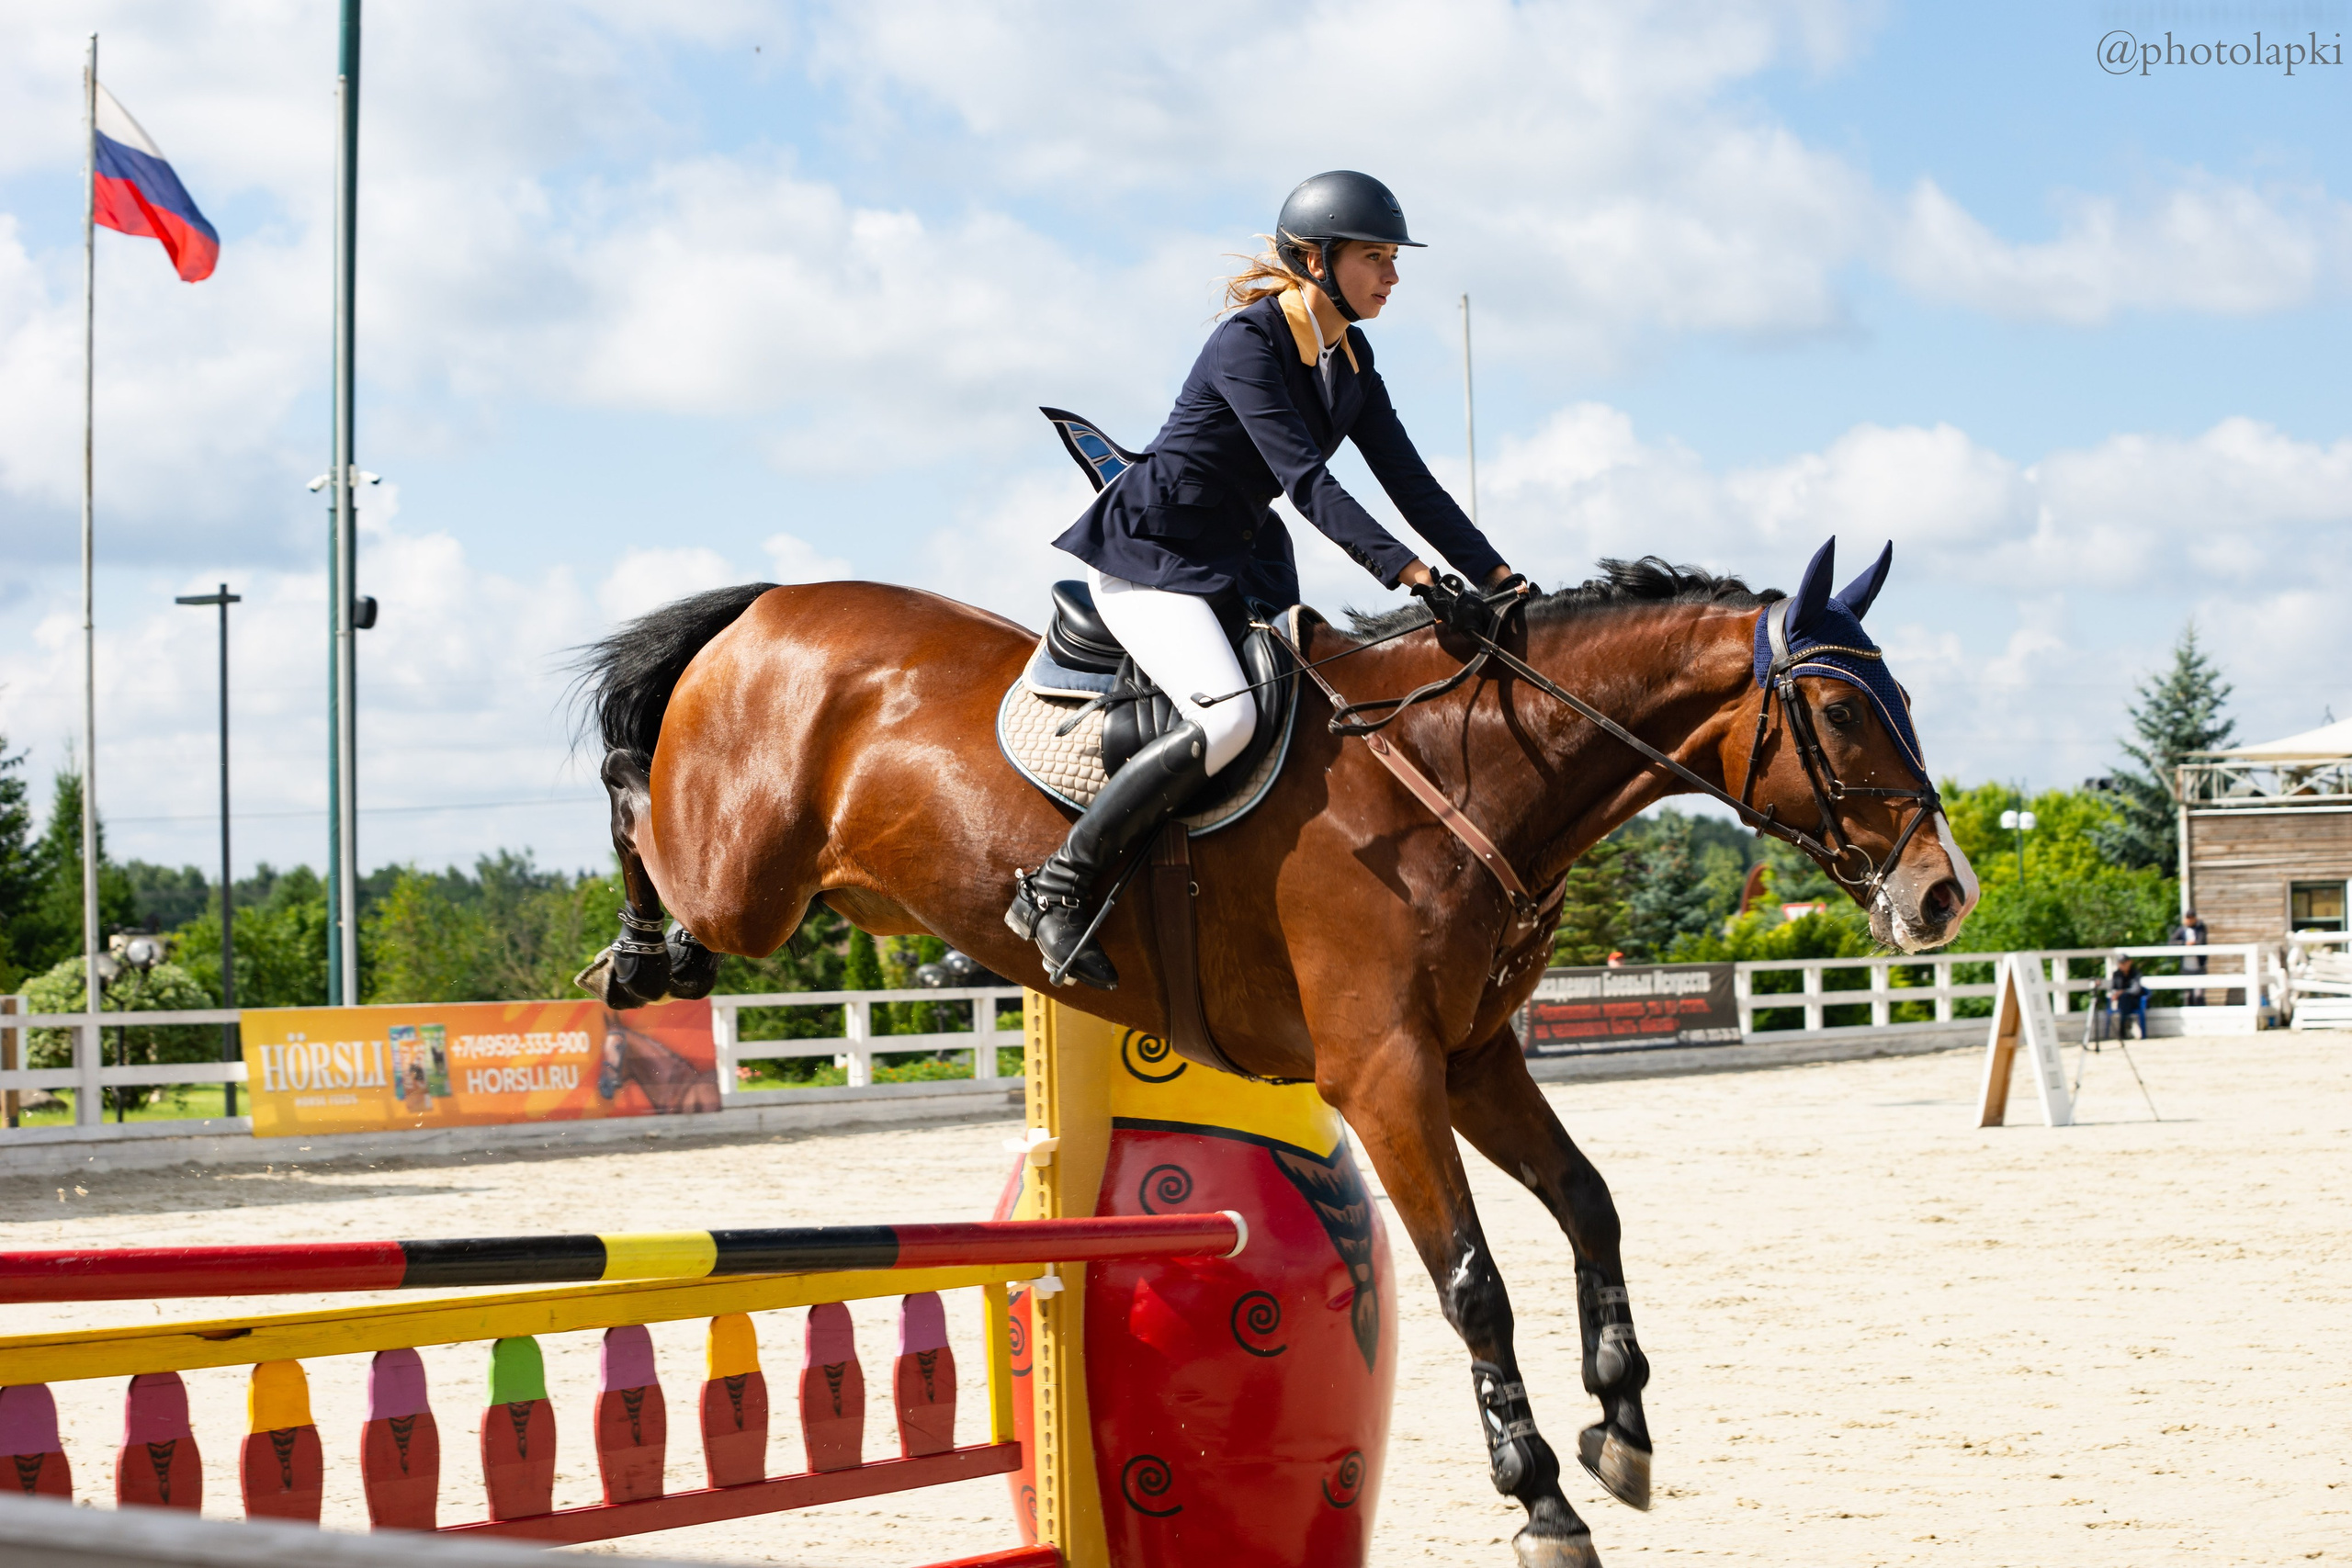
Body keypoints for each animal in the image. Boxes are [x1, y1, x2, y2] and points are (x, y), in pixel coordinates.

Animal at [571, 543, 1975, 1567]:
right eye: (1841, 708)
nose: (1944, 895)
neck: (1462, 770)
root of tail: (765, 604)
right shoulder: (1387, 1073)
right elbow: (1473, 1282)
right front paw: (1540, 1498)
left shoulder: (1474, 1062)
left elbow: (1589, 1204)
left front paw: (1619, 1425)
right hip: (745, 886)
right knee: (631, 795)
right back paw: (639, 956)